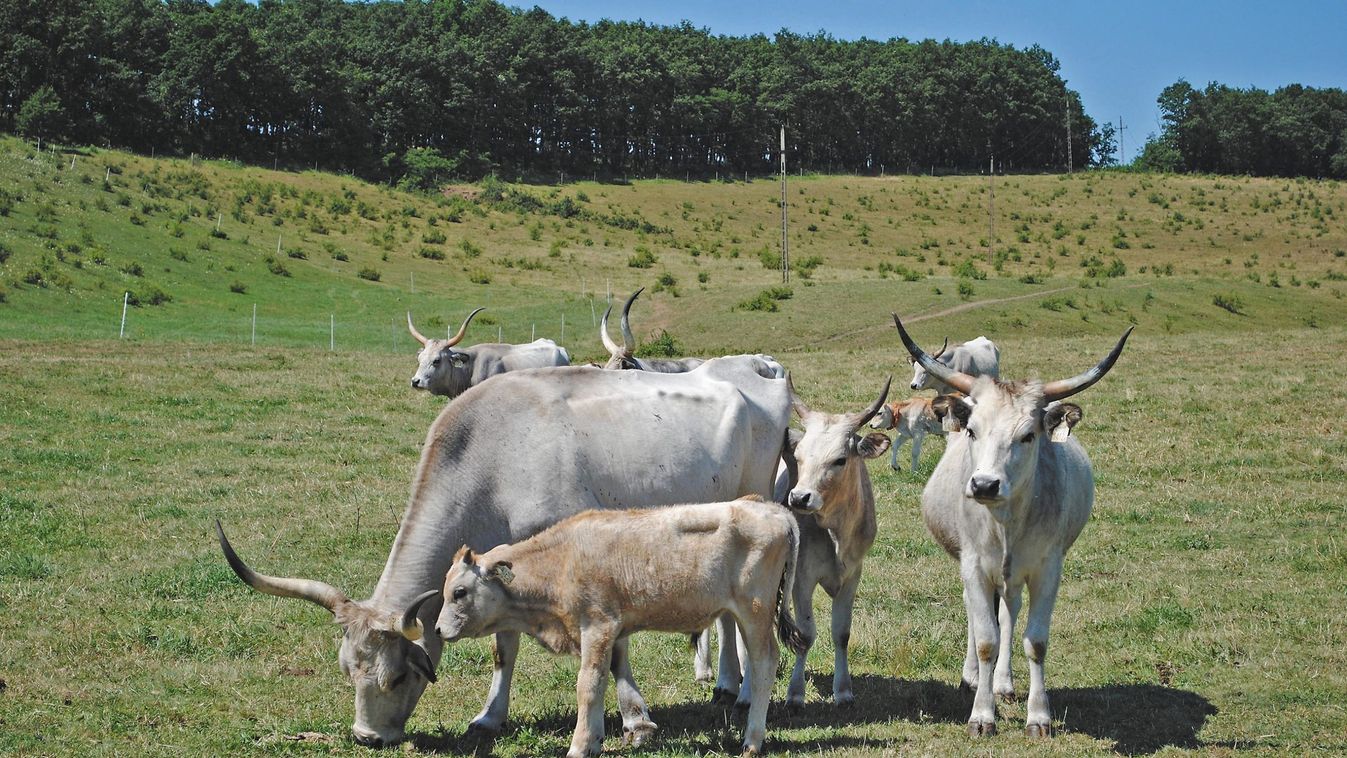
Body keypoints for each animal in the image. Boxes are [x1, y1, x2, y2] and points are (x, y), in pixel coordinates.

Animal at [425, 498, 802, 758]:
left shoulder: (597, 626)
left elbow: (588, 684)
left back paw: (752, 741)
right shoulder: (611, 633)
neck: (563, 560)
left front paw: (579, 746)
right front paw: (597, 739)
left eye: (459, 592)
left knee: (765, 662)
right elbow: (607, 676)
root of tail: (773, 510)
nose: (439, 630)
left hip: (755, 613)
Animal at [899, 311, 1131, 737]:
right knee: (980, 617)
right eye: (972, 430)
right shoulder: (974, 565)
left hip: (1015, 575)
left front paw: (1038, 716)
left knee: (1009, 612)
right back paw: (974, 676)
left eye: (1028, 435)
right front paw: (981, 715)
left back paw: (1003, 682)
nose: (984, 484)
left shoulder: (1047, 569)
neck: (1004, 521)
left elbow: (1034, 641)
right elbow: (985, 638)